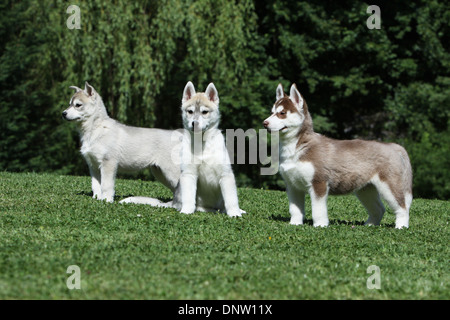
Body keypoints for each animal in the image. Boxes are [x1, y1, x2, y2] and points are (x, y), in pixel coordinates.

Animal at [262, 82, 414, 228]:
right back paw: (370, 225)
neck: (298, 146)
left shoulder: (319, 183)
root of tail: (394, 146)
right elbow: (295, 209)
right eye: (272, 112)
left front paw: (320, 225)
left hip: (389, 186)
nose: (264, 123)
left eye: (282, 113)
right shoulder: (293, 185)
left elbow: (318, 210)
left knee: (403, 207)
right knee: (379, 209)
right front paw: (294, 224)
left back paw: (401, 226)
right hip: (365, 189)